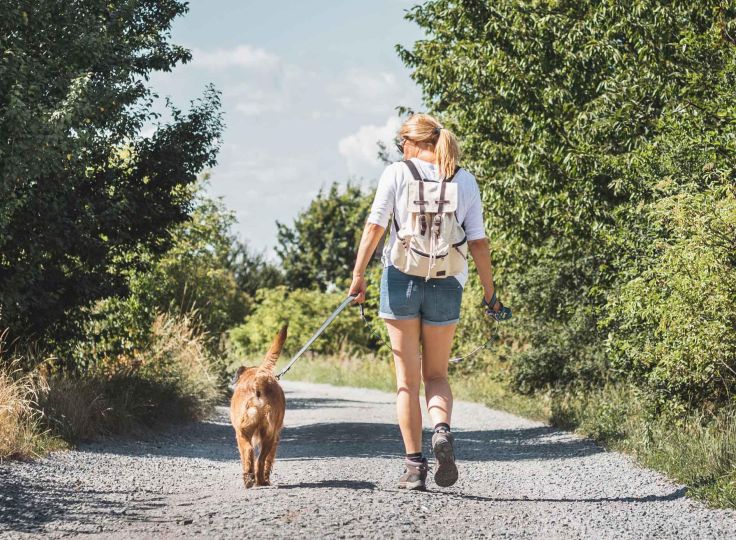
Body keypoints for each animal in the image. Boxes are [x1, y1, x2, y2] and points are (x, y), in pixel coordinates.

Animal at [230, 324, 288, 490]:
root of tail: (259, 378)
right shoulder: (275, 437)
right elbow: (269, 461)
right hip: (269, 435)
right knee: (260, 460)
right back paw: (260, 480)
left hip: (242, 433)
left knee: (249, 453)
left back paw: (249, 479)